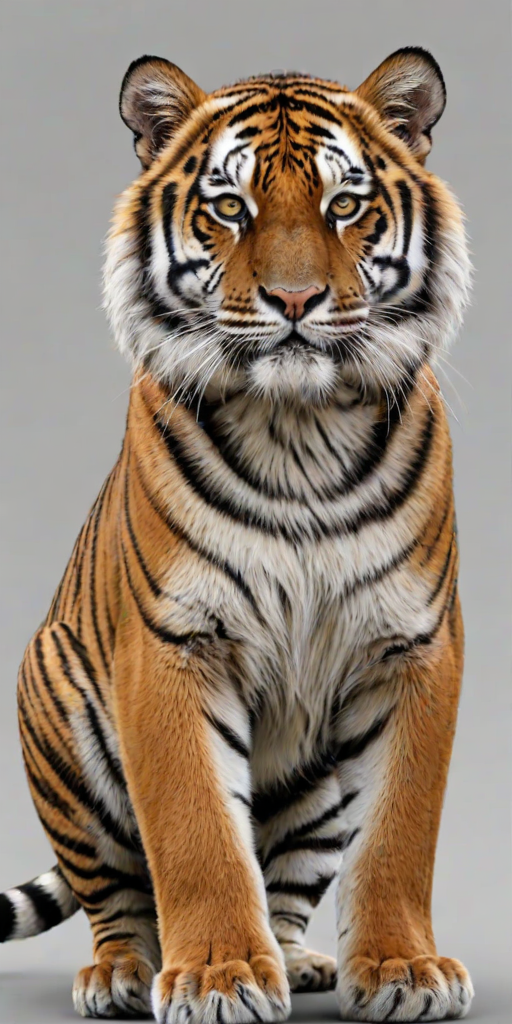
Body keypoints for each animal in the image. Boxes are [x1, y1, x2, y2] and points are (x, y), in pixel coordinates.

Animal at [0, 46, 474, 1023]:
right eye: (230, 207)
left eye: (344, 205)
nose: (294, 298)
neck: (300, 431)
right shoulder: (174, 645)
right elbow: (196, 830)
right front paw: (217, 974)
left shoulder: (413, 645)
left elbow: (400, 830)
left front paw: (402, 969)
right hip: (53, 700)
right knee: (114, 892)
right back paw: (122, 974)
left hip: (316, 789)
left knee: (288, 881)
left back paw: (296, 960)